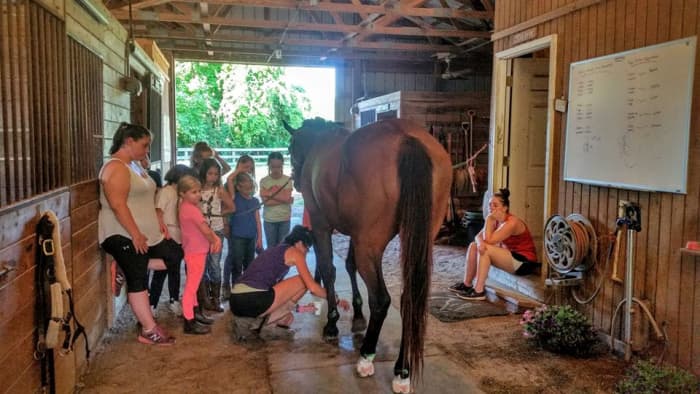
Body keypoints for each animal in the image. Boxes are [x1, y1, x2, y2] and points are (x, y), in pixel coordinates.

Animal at [286, 116, 454, 390]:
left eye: (291, 148)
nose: (296, 180)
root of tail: (406, 137)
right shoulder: (354, 232)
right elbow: (349, 265)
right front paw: (357, 315)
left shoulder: (322, 225)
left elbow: (329, 269)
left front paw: (332, 323)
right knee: (408, 299)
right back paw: (402, 370)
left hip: (370, 243)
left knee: (382, 299)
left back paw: (366, 357)